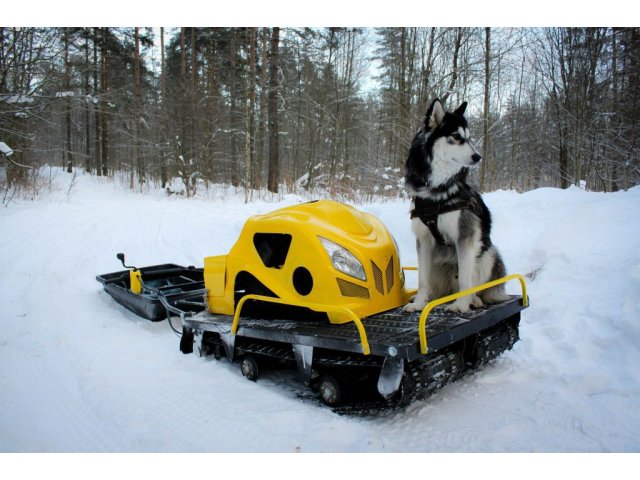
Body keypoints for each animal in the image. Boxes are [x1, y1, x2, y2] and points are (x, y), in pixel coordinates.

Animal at [402, 99, 508, 314]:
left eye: (469, 138)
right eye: (457, 137)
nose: (477, 157)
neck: (437, 190)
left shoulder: (465, 237)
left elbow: (466, 280)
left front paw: (461, 305)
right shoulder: (424, 240)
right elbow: (422, 280)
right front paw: (419, 304)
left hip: (488, 254)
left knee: (475, 285)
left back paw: (474, 300)